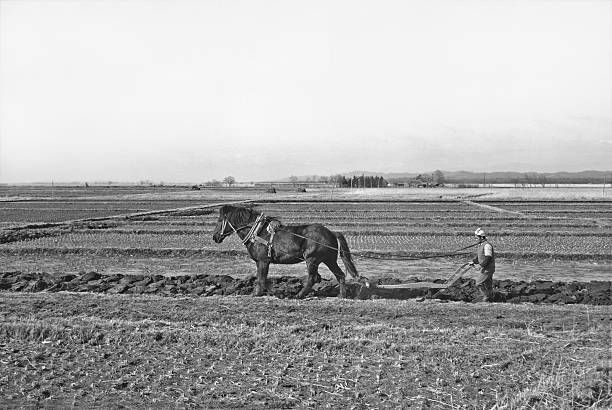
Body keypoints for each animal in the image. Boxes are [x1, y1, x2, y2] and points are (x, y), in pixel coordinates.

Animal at [212, 205, 364, 298]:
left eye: (219, 220)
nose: (215, 237)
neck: (257, 232)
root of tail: (332, 233)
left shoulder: (263, 261)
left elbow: (262, 279)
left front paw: (261, 293)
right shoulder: (260, 262)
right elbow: (262, 279)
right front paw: (267, 292)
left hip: (312, 259)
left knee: (313, 278)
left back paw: (299, 295)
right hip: (329, 260)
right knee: (340, 275)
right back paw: (342, 295)